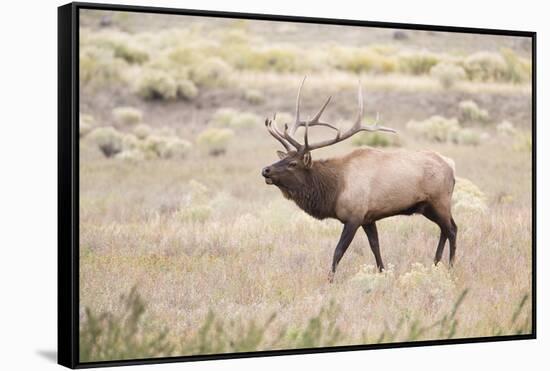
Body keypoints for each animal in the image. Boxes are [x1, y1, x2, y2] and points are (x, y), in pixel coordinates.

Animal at [262, 78, 458, 282]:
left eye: (292, 163)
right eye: (283, 158)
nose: (265, 170)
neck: (334, 190)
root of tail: (450, 165)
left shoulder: (353, 216)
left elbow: (338, 251)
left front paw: (329, 281)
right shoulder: (368, 218)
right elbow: (375, 246)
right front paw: (382, 273)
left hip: (440, 201)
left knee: (452, 229)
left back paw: (450, 267)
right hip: (427, 207)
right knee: (445, 229)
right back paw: (436, 263)